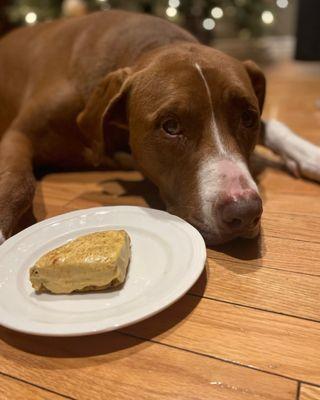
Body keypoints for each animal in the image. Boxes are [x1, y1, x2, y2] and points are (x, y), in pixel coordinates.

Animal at [0, 10, 320, 244]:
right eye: (171, 126)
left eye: (248, 118)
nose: (244, 211)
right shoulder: (19, 134)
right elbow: (18, 182)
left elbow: (274, 124)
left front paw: (310, 155)